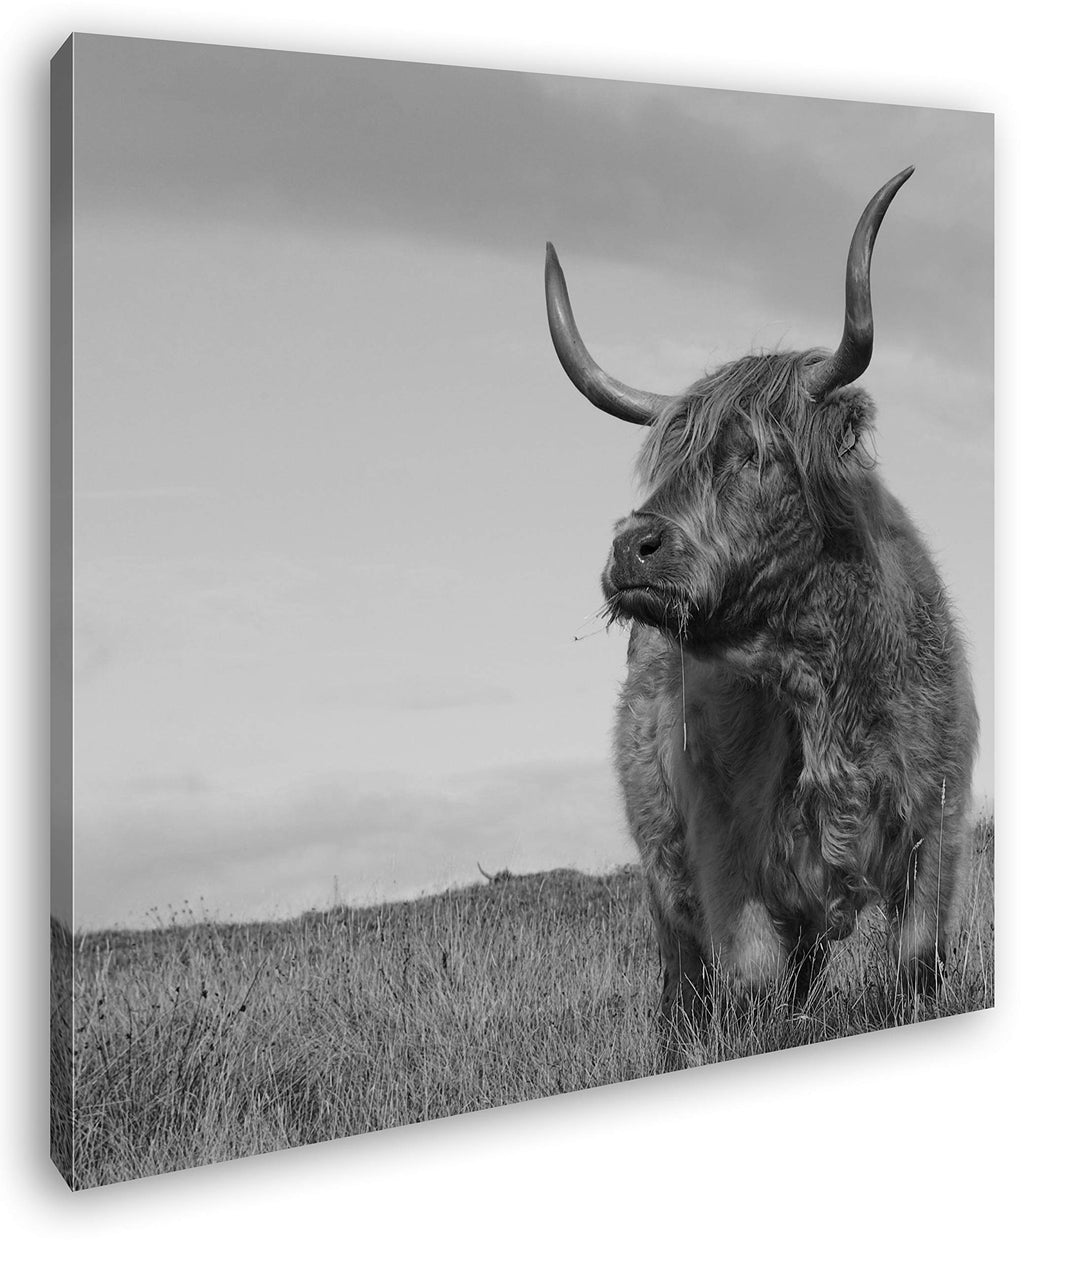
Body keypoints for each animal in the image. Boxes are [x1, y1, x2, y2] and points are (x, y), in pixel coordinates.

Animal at [544, 168, 978, 1045]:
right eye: (666, 463)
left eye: (754, 452)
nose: (632, 546)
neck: (823, 685)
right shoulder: (724, 843)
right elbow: (749, 978)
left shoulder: (940, 819)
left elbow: (919, 961)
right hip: (663, 875)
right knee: (687, 977)